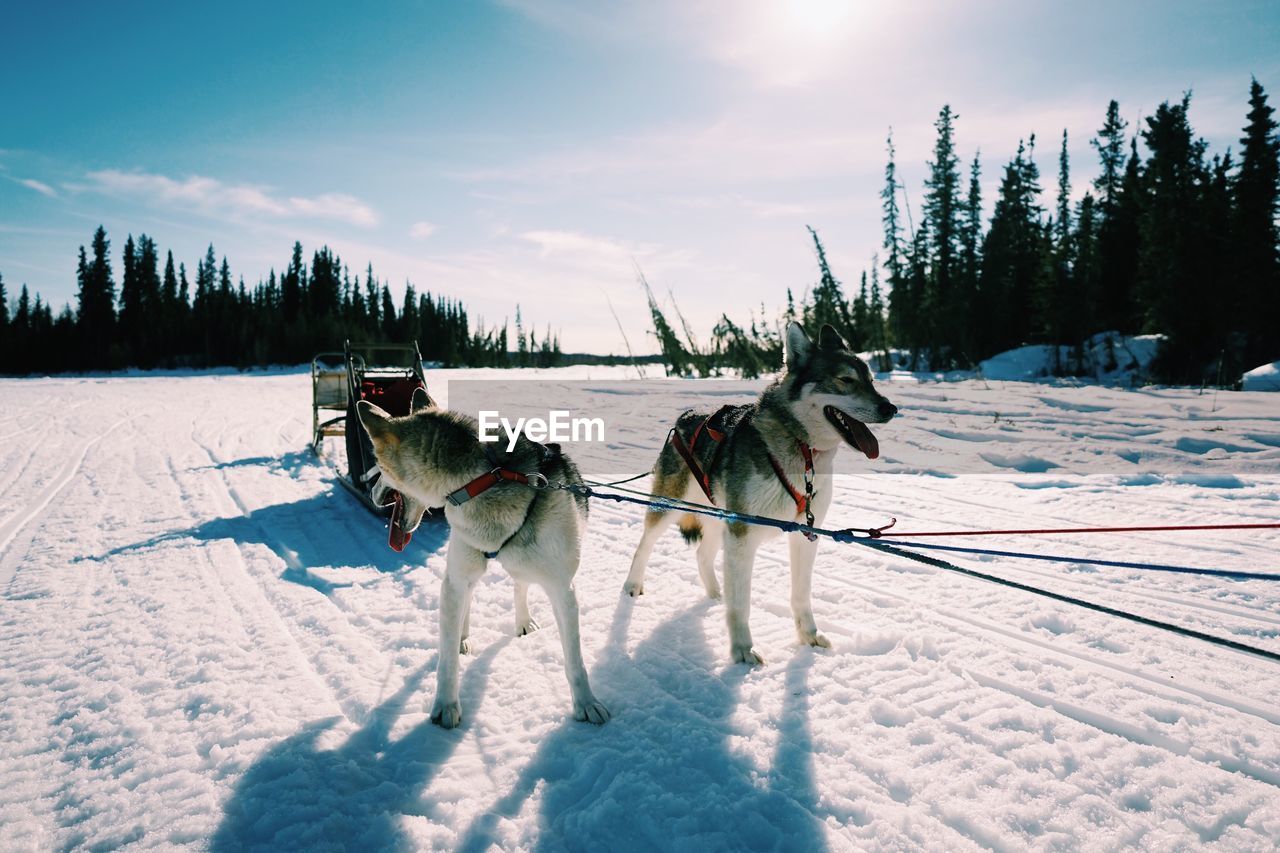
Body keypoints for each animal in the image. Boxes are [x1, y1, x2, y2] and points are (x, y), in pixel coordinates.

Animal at [353, 389, 606, 727]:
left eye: (379, 469)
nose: (372, 494)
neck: (483, 479)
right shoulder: (455, 579)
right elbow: (447, 659)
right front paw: (446, 705)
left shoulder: (562, 589)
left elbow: (575, 660)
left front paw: (587, 703)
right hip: (465, 570)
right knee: (470, 598)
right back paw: (464, 635)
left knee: (520, 584)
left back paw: (522, 620)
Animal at [624, 322, 896, 660]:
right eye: (845, 380)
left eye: (871, 380)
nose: (891, 408)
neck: (802, 452)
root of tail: (685, 418)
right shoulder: (742, 535)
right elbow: (741, 603)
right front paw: (742, 650)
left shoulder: (805, 533)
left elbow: (801, 594)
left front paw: (809, 635)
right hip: (670, 506)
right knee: (644, 544)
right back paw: (633, 584)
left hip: (718, 518)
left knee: (703, 554)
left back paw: (715, 593)